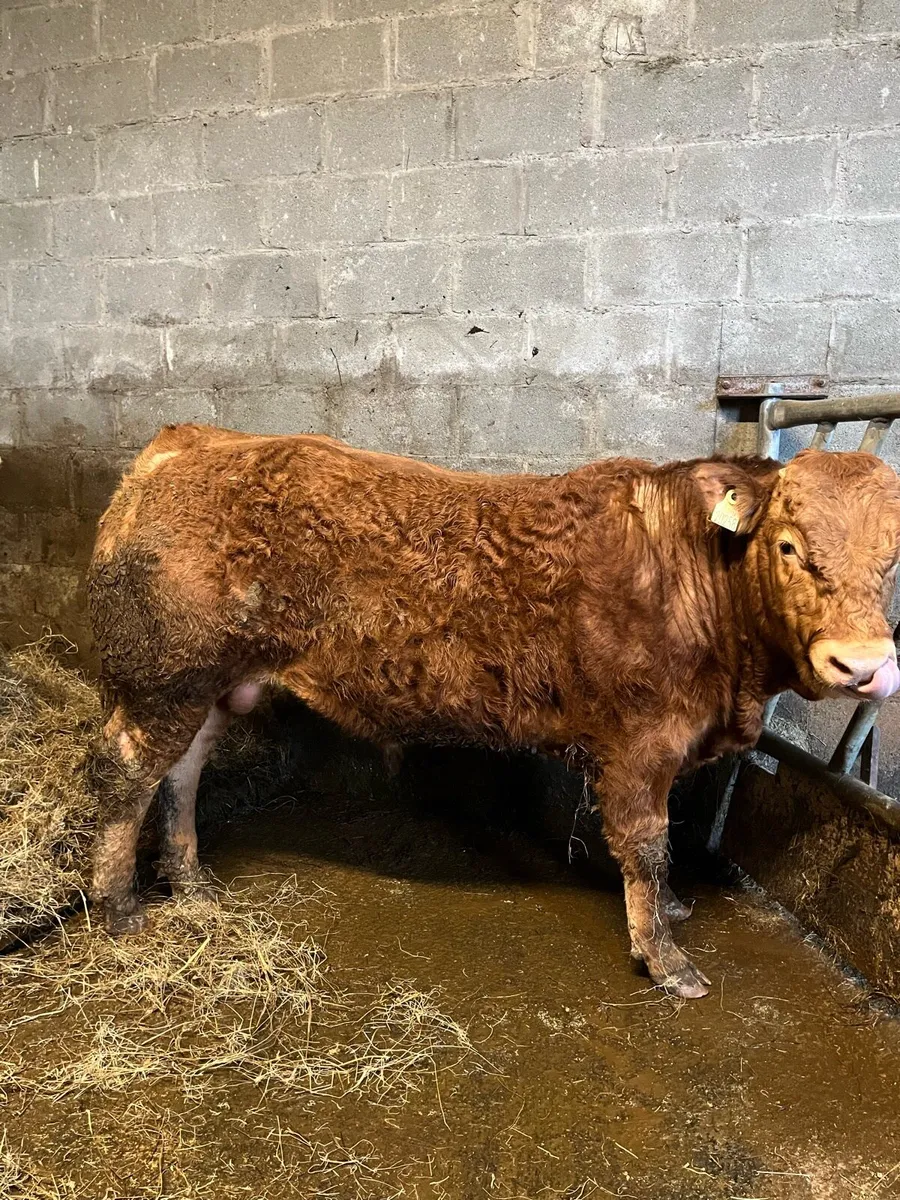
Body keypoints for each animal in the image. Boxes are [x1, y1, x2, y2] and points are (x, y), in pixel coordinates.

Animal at [86, 425, 900, 999]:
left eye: (892, 559)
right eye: (789, 545)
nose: (861, 665)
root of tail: (191, 440)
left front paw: (669, 912)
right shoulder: (640, 744)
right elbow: (647, 844)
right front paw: (666, 959)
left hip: (208, 685)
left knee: (183, 771)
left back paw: (191, 883)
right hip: (166, 680)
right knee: (124, 772)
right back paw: (118, 905)